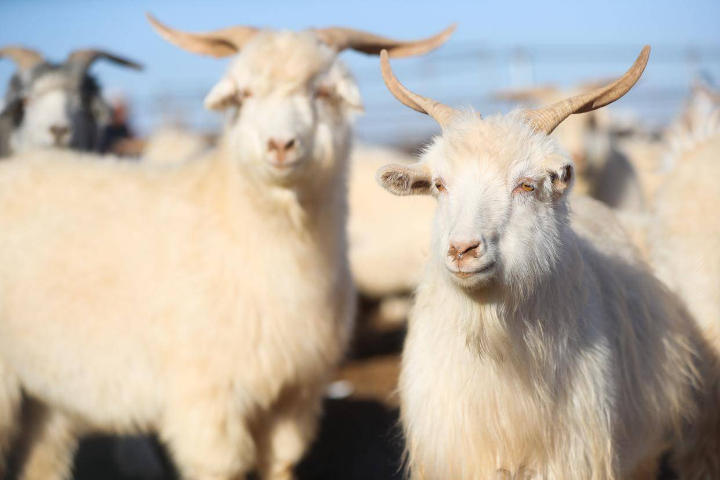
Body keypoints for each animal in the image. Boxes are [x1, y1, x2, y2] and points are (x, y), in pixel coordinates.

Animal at [0, 15, 452, 480]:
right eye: (244, 93)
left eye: (322, 92)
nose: (280, 145)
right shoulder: (205, 399)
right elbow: (222, 465)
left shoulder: (293, 396)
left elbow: (281, 463)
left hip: (47, 394)